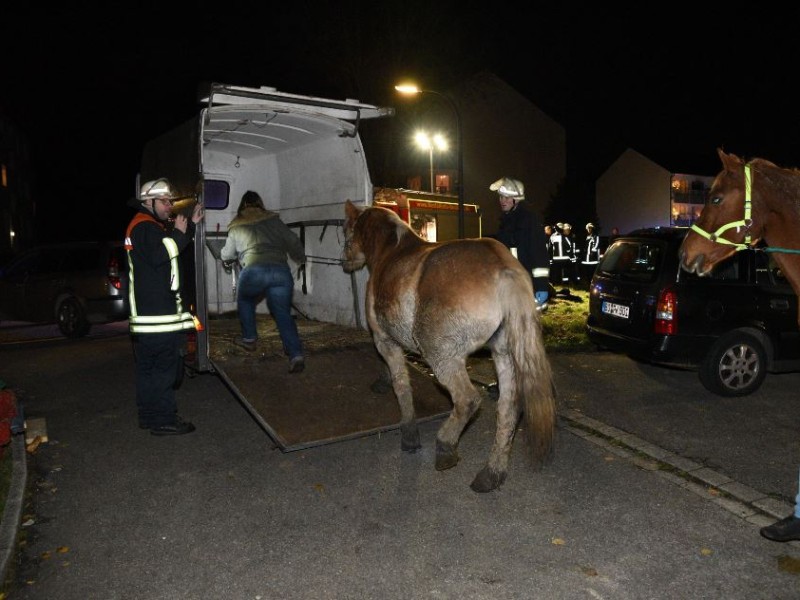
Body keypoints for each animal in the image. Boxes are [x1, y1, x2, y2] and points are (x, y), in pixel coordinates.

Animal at [340, 200, 556, 492]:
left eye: (346, 230)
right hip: (503, 354)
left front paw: (409, 434)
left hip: (441, 355)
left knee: (467, 399)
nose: (344, 260)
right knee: (508, 409)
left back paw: (446, 446)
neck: (389, 251)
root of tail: (503, 268)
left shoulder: (385, 341)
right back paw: (492, 473)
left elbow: (401, 386)